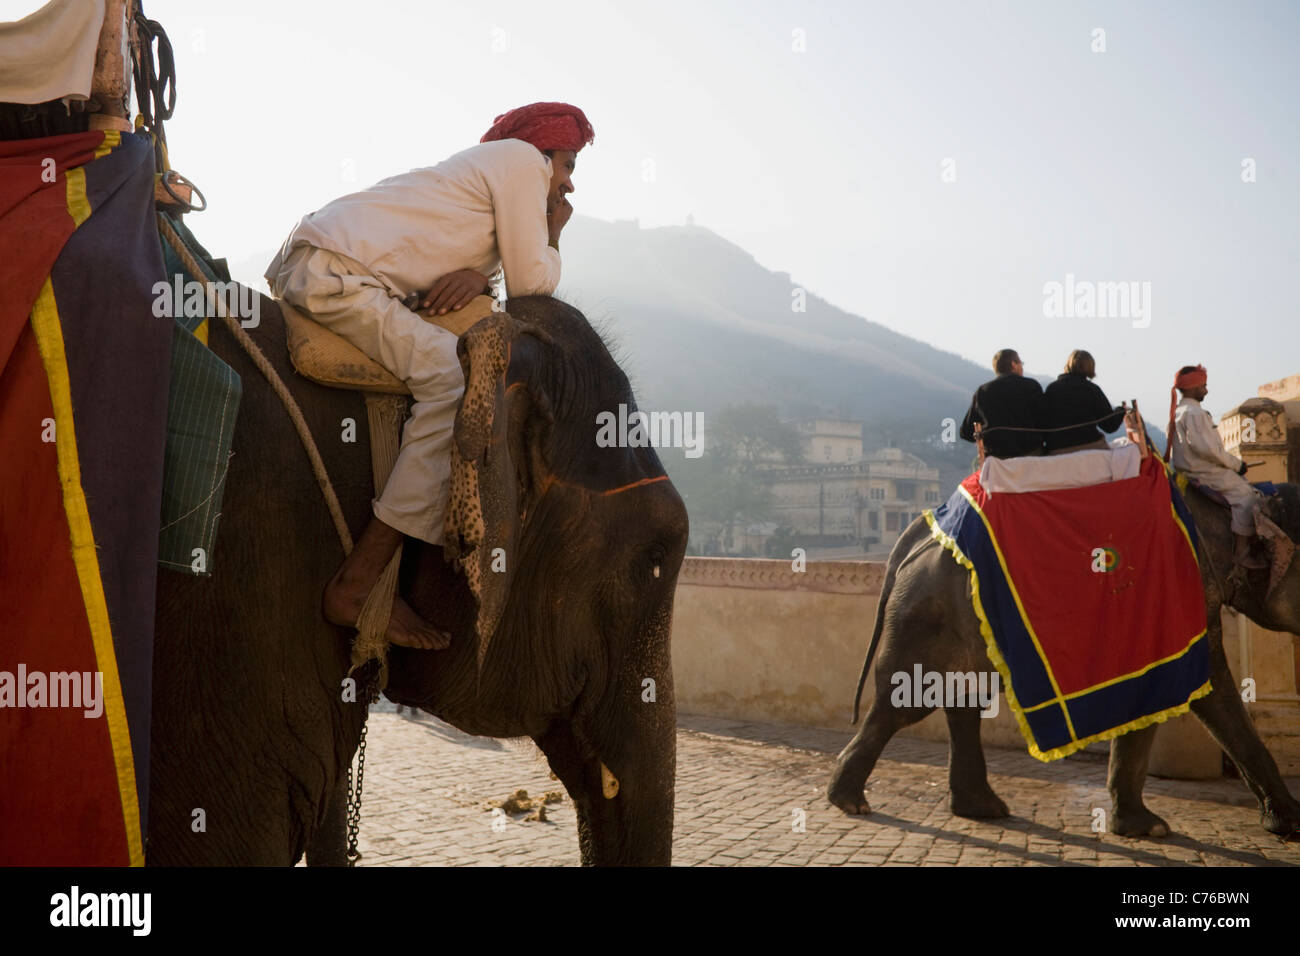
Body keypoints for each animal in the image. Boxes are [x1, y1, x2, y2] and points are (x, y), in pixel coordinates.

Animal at [826, 478, 1300, 837]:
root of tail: (921, 530)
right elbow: (1196, 686)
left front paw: (1141, 828)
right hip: (928, 611)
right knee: (907, 702)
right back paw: (850, 802)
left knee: (962, 699)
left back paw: (981, 809)